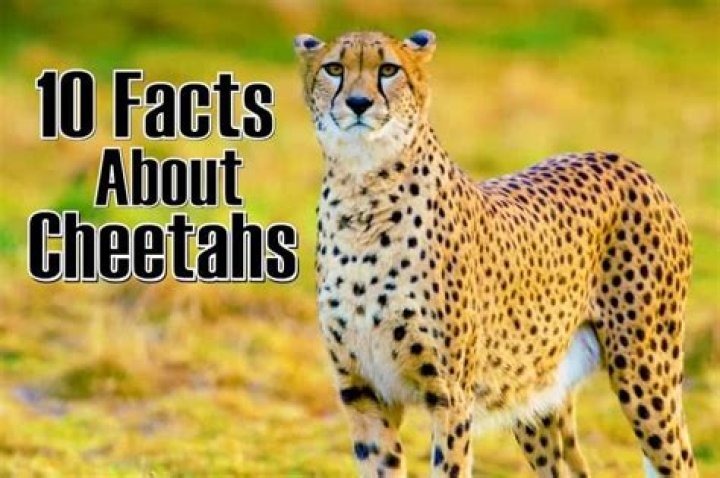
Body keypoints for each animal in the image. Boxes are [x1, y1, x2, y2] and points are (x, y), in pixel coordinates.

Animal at [294, 29, 696, 478]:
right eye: (334, 68)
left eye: (388, 69)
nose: (358, 103)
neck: (363, 194)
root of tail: (625, 161)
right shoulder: (363, 393)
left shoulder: (450, 397)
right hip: (533, 392)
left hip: (645, 372)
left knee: (680, 459)